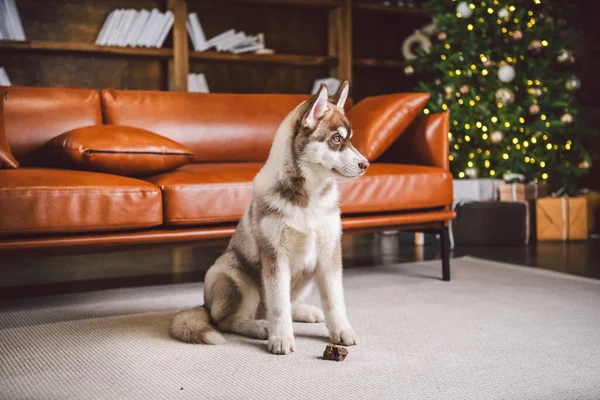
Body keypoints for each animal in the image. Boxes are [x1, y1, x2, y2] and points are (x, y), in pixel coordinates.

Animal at [170, 80, 370, 354]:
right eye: (336, 139)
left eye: (349, 139)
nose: (366, 164)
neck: (308, 196)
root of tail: (205, 306)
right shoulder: (274, 255)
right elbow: (278, 304)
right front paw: (281, 338)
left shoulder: (329, 252)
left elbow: (334, 299)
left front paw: (341, 330)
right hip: (233, 274)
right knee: (228, 320)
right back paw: (259, 327)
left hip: (306, 276)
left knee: (285, 303)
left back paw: (304, 312)